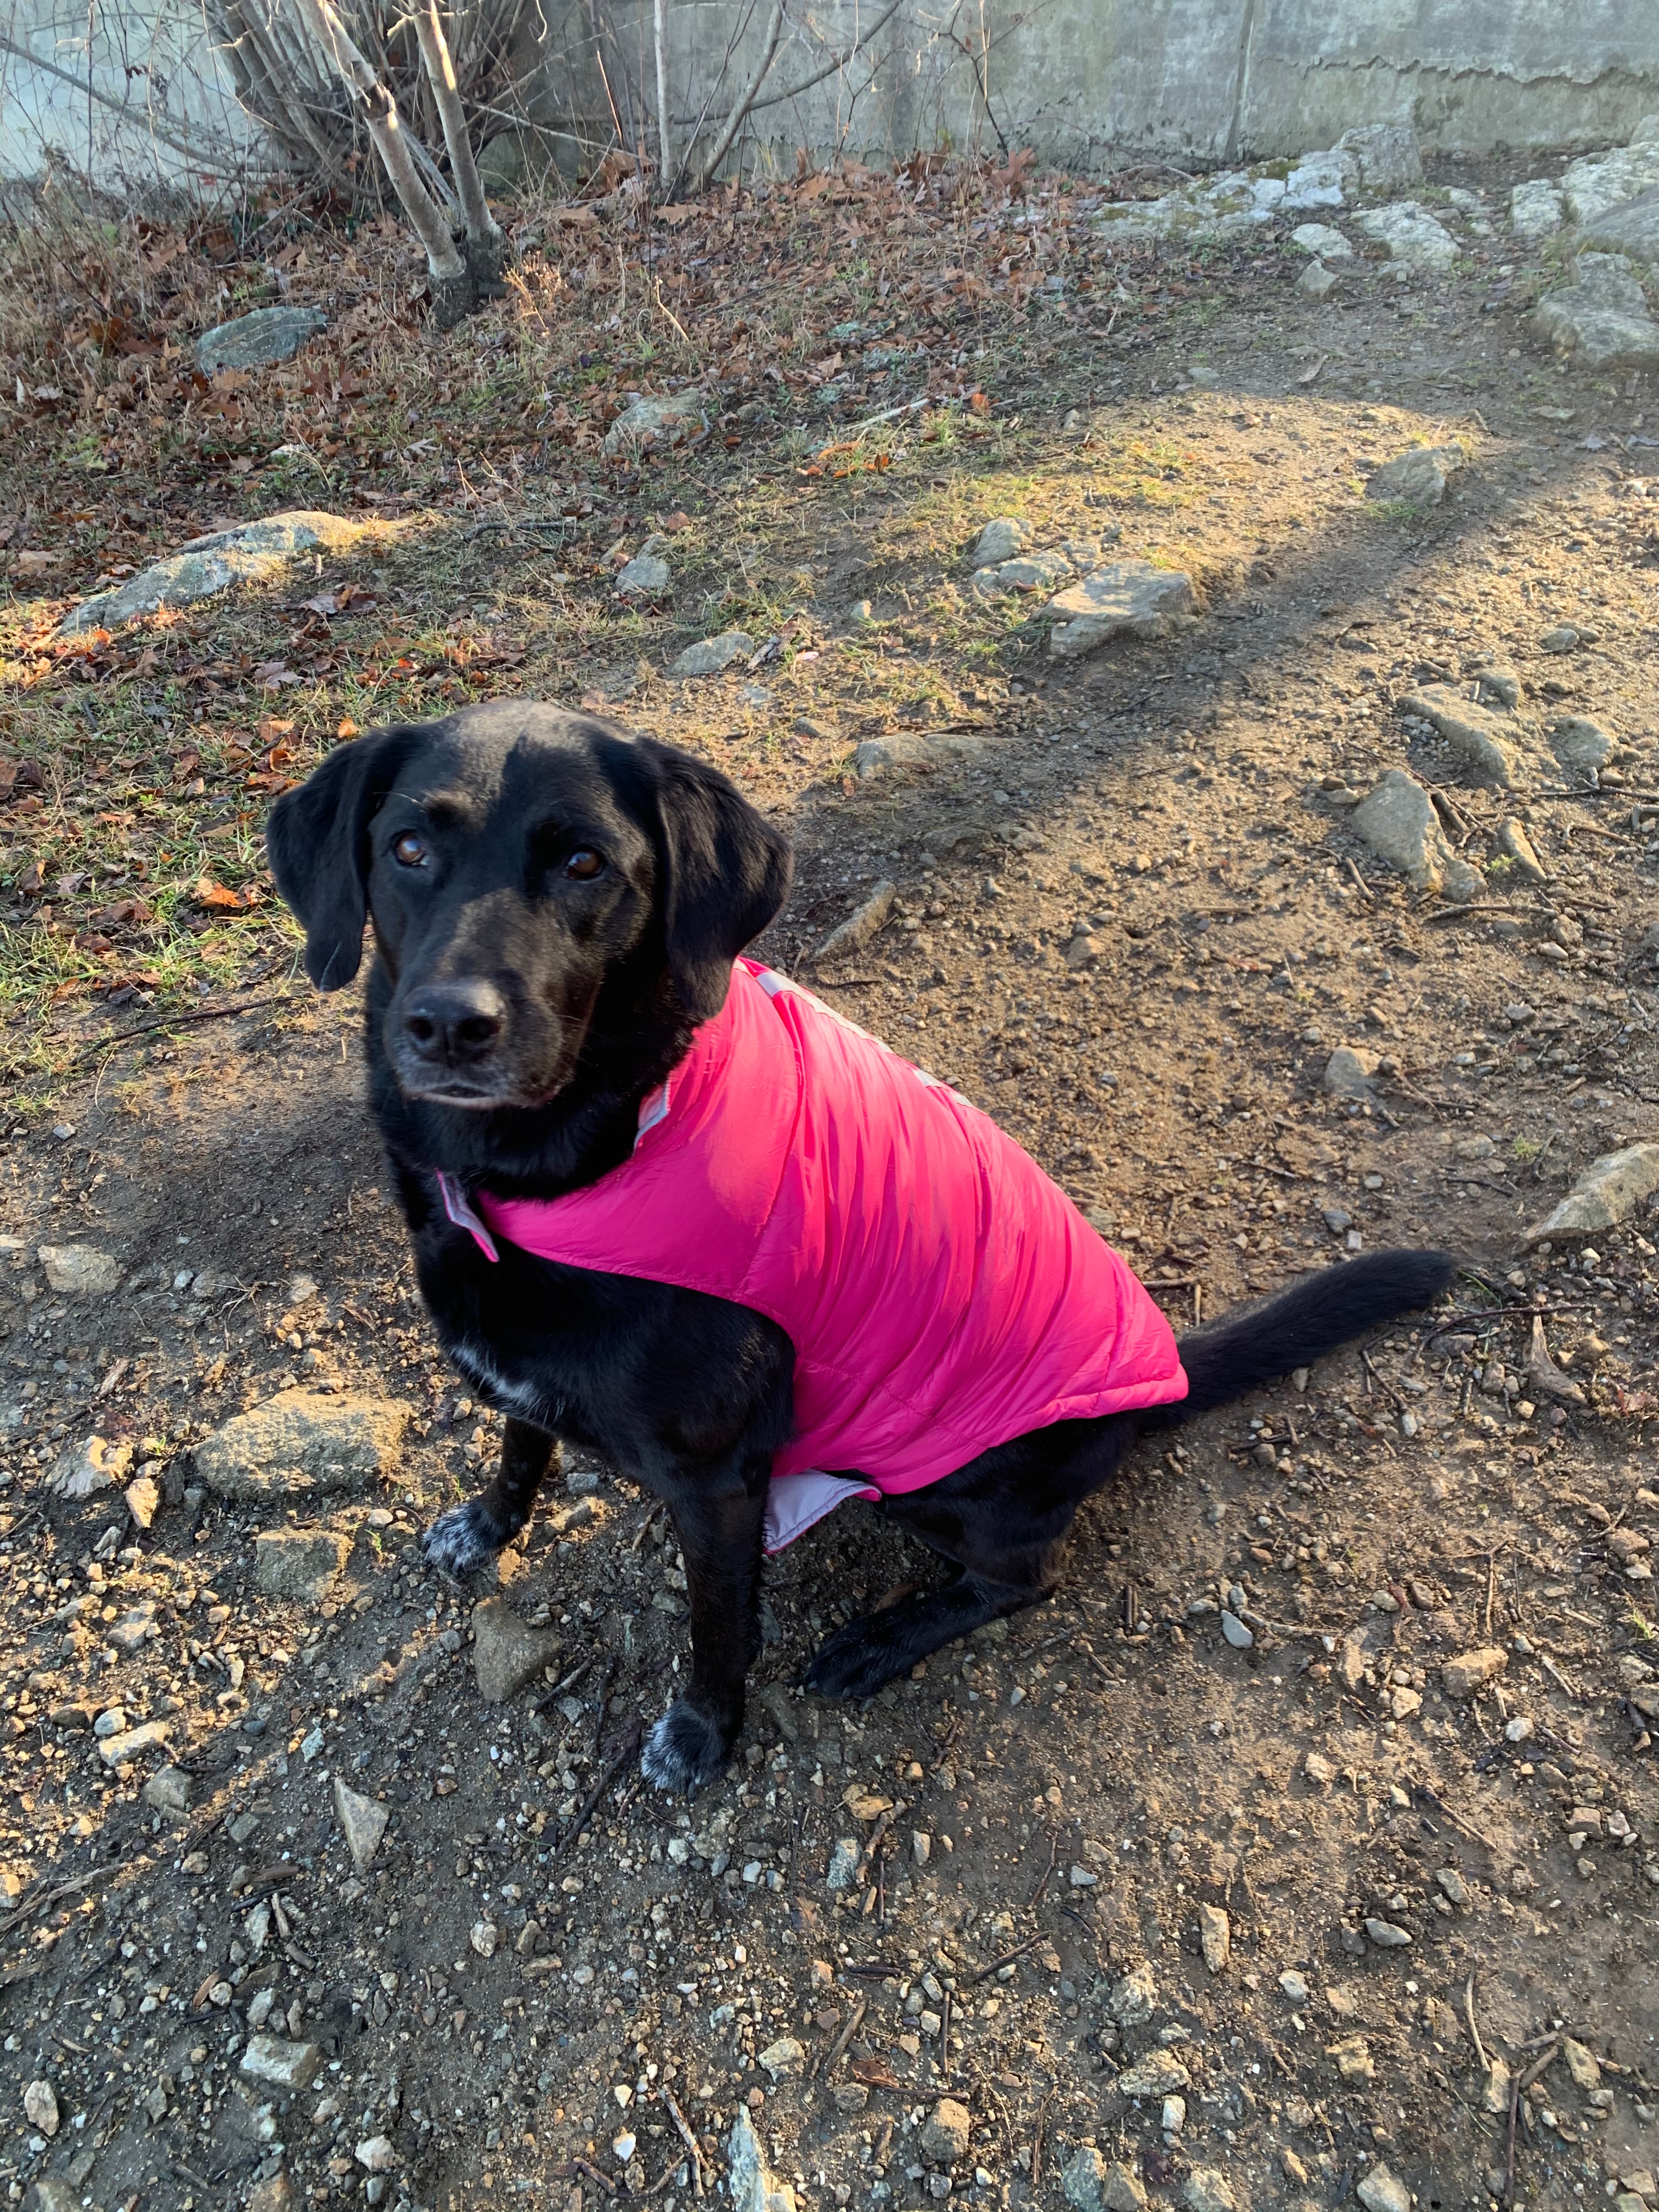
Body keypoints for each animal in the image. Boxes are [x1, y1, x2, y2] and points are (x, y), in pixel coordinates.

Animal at [269, 708, 1451, 1796]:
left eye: (583, 863)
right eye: (408, 848)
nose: (447, 1025)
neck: (568, 1168)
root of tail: (1157, 1379)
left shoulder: (716, 1481)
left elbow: (717, 1627)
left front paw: (700, 1732)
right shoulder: (523, 1370)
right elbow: (521, 1443)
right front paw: (488, 1524)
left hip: (942, 1484)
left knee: (1024, 1579)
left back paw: (883, 1639)